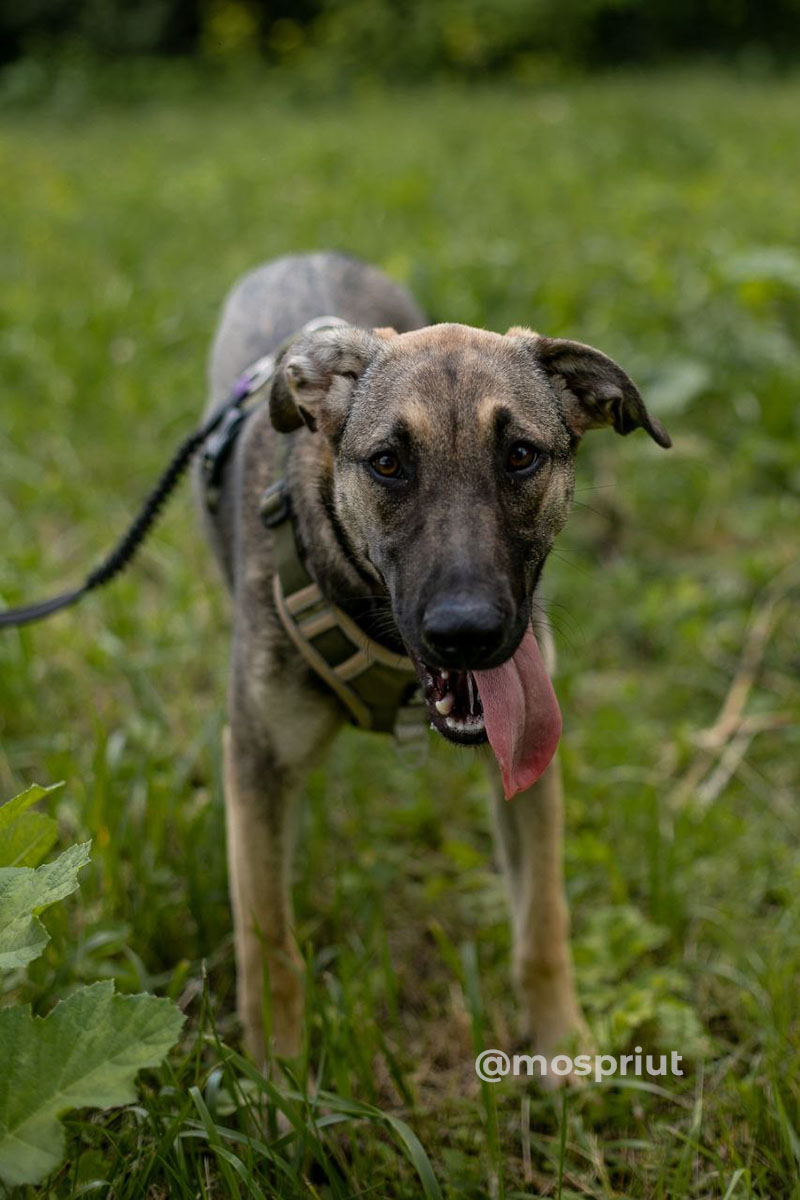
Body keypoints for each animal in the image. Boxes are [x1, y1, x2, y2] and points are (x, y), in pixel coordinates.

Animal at [196, 250, 671, 1070]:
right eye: (388, 463)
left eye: (521, 456)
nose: (467, 632)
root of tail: (311, 255)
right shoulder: (255, 762)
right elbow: (268, 945)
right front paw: (276, 1080)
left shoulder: (530, 769)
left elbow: (543, 920)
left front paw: (561, 1049)